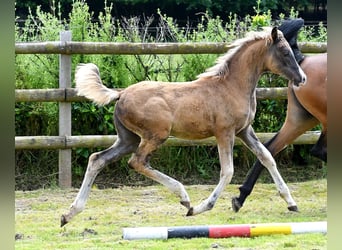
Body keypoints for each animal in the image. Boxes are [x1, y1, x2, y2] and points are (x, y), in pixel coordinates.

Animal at [60, 26, 306, 227]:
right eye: (285, 52)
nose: (302, 78)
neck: (231, 86)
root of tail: (121, 94)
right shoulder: (224, 133)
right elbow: (228, 171)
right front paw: (201, 208)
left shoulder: (244, 131)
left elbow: (267, 157)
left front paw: (291, 203)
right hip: (156, 134)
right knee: (137, 162)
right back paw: (185, 198)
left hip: (128, 139)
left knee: (97, 159)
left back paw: (69, 214)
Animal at [231, 18, 328, 212]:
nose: (301, 78)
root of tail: (303, 62)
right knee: (318, 150)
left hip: (301, 120)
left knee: (270, 148)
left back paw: (241, 197)